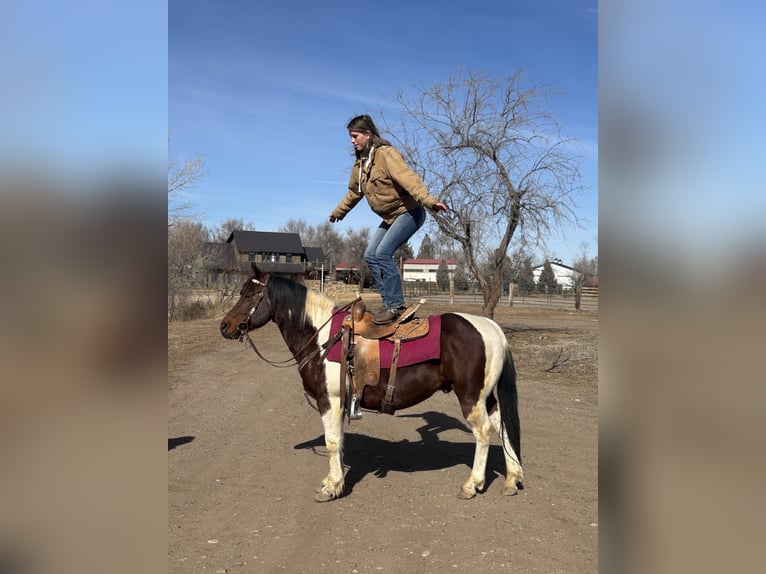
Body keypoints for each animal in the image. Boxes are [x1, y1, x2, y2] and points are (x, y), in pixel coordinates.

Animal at [219, 265, 523, 502]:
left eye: (249, 295)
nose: (225, 326)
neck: (321, 338)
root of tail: (491, 328)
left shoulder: (329, 401)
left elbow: (331, 442)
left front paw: (331, 488)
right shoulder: (341, 402)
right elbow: (340, 442)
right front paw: (335, 480)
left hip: (471, 397)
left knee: (484, 433)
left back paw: (472, 485)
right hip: (486, 397)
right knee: (501, 427)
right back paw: (511, 479)